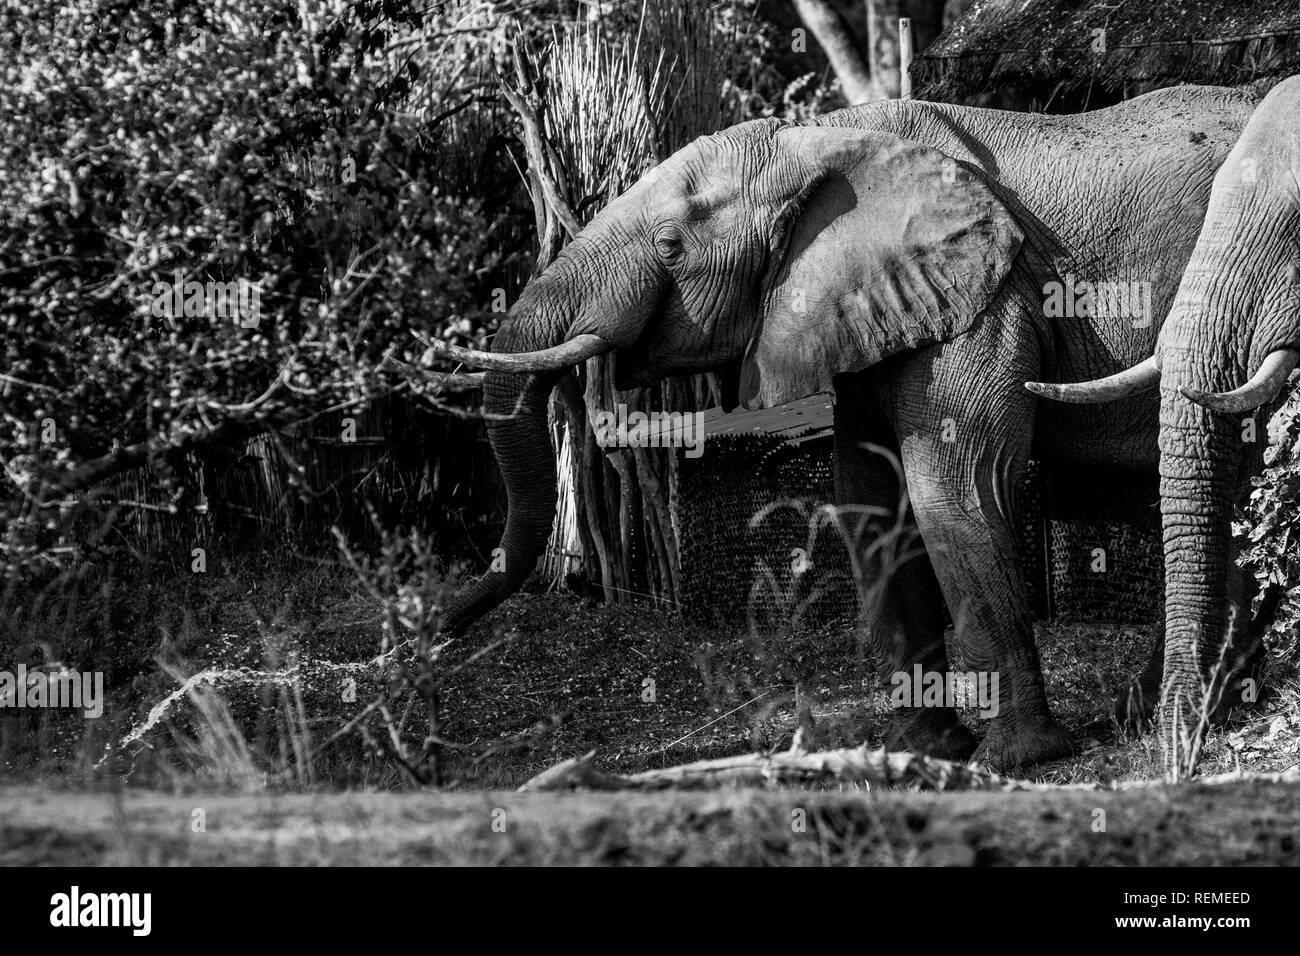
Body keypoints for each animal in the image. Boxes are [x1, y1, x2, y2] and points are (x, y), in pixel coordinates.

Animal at [436, 82, 1258, 770]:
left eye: (670, 247)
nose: (440, 632)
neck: (822, 142)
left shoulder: (986, 297)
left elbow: (957, 489)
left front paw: (1015, 760)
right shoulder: (876, 310)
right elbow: (871, 500)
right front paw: (925, 750)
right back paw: (1161, 711)